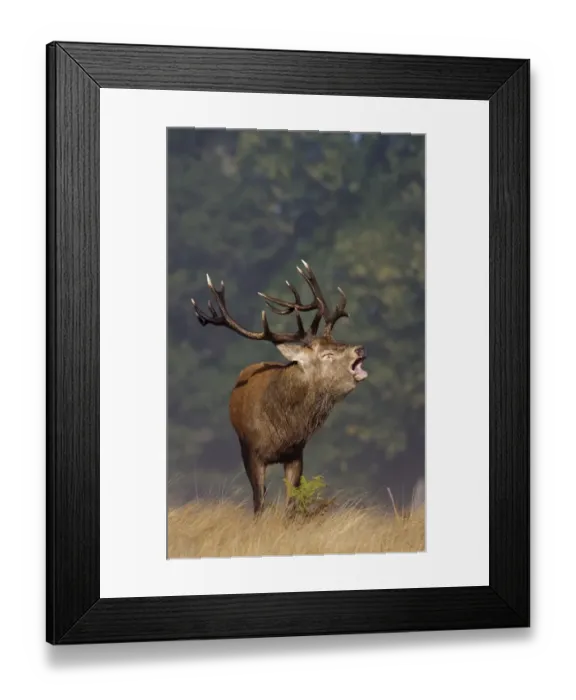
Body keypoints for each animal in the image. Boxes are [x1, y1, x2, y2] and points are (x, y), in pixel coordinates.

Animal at [191, 260, 368, 515]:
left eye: (337, 341)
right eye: (327, 354)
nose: (360, 349)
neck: (283, 429)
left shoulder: (296, 453)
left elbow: (291, 505)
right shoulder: (251, 453)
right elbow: (259, 503)